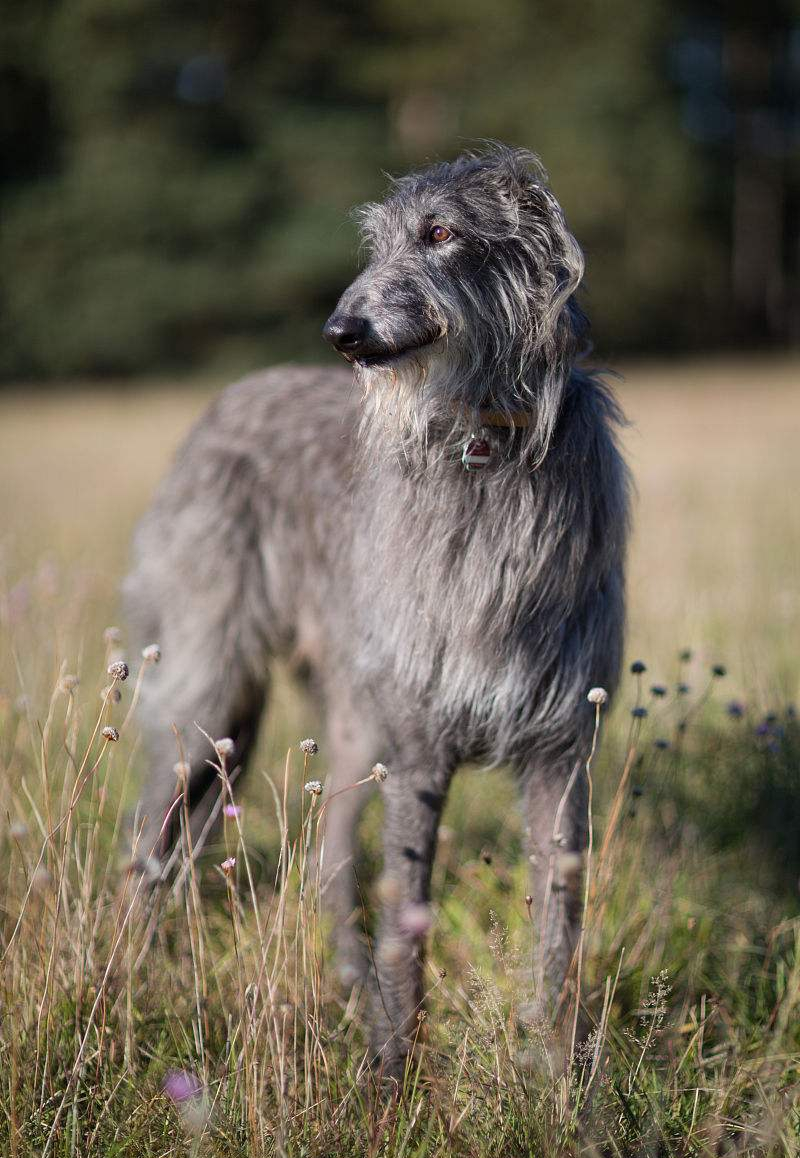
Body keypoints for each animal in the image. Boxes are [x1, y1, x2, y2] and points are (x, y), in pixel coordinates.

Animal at [125, 144, 634, 1074]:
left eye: (441, 233)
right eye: (380, 243)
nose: (342, 333)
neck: (480, 446)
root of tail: (224, 400)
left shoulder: (561, 751)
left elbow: (560, 922)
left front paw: (563, 1074)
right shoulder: (420, 746)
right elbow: (408, 912)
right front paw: (397, 1070)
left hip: (351, 720)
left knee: (328, 854)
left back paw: (349, 981)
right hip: (213, 693)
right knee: (152, 832)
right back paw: (125, 970)